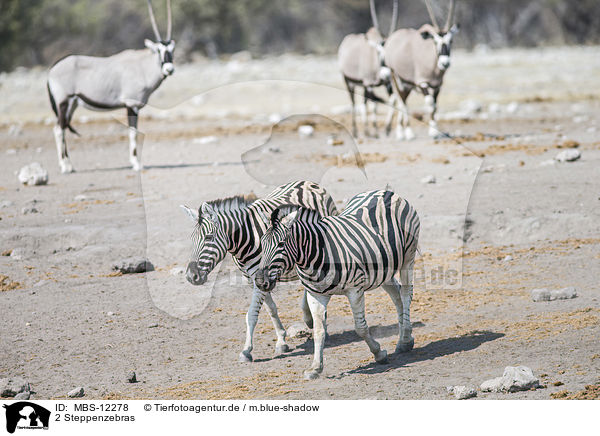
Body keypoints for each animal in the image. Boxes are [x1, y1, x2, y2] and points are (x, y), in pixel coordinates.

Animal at [178, 179, 338, 362]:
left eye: (208, 237)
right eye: (192, 239)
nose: (191, 276)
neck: (247, 239)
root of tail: (306, 182)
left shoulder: (260, 277)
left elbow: (251, 315)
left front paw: (246, 350)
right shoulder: (256, 279)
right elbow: (271, 309)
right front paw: (281, 341)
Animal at [255, 190, 420, 378]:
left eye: (281, 244)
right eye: (262, 243)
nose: (260, 281)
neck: (315, 256)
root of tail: (385, 192)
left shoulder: (355, 290)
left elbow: (360, 328)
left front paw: (379, 354)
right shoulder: (316, 295)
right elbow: (319, 331)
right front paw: (315, 367)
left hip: (408, 258)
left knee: (406, 294)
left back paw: (405, 341)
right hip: (384, 269)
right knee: (396, 295)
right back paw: (404, 339)